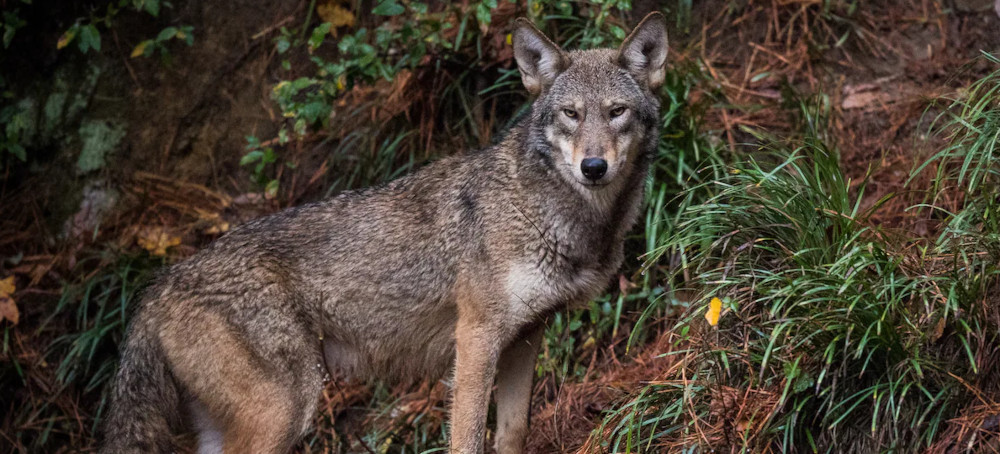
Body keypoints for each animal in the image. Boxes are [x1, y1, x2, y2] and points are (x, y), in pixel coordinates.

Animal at [101, 12, 668, 454]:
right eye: (571, 114)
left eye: (616, 112)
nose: (593, 167)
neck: (550, 213)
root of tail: (155, 290)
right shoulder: (476, 338)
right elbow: (466, 438)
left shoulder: (525, 339)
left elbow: (511, 434)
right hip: (287, 409)